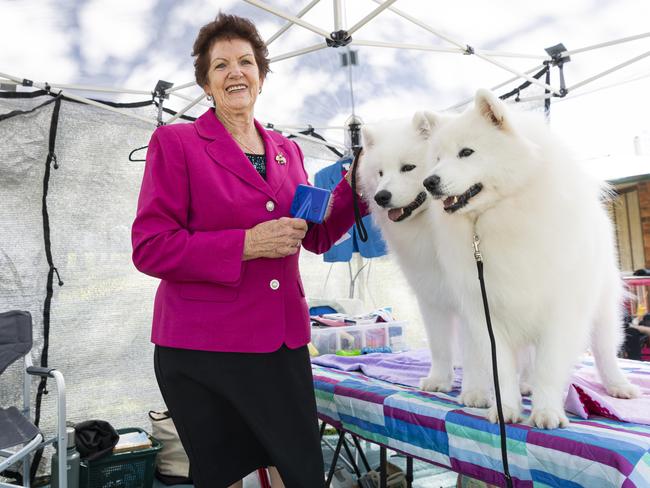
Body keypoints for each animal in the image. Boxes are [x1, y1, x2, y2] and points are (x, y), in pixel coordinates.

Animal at [356, 112, 458, 390]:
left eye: (408, 167)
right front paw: (438, 381)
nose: (381, 196)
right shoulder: (432, 296)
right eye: (380, 173)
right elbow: (439, 345)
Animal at [420, 89, 636, 428]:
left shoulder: (559, 314)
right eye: (437, 159)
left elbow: (548, 368)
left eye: (466, 152)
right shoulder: (488, 316)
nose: (429, 182)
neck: (498, 217)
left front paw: (546, 412)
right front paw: (505, 410)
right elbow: (502, 372)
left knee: (604, 352)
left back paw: (618, 386)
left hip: (602, 312)